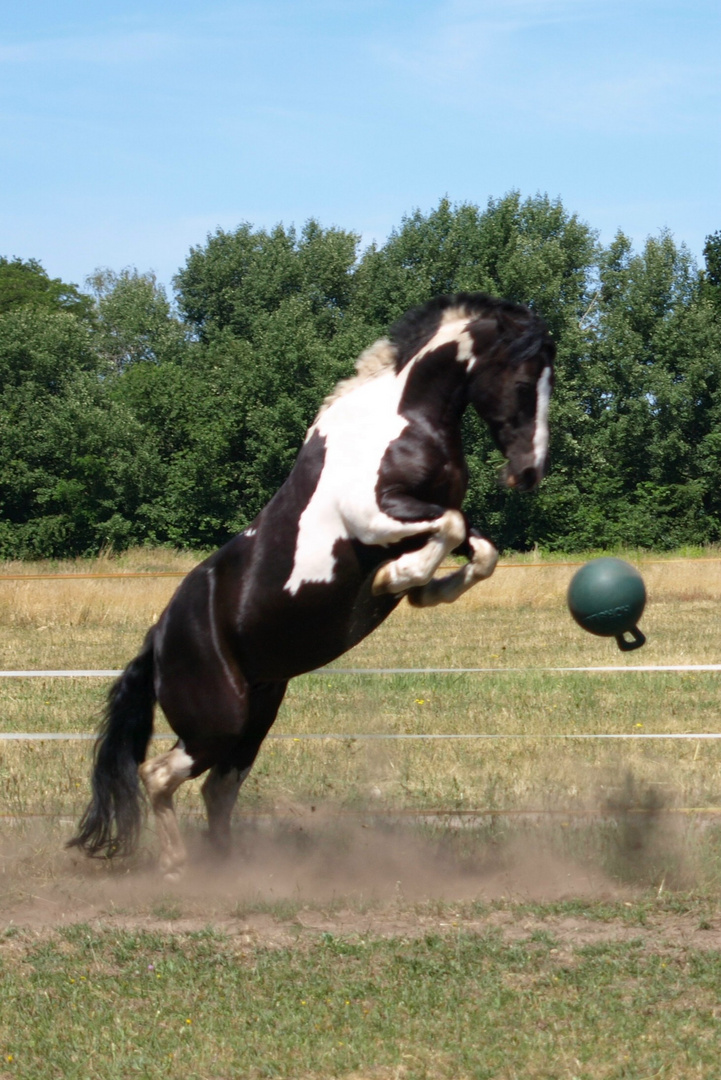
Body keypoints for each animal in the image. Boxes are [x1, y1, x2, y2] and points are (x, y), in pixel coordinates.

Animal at [69, 293, 552, 876]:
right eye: (523, 381)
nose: (529, 472)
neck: (401, 419)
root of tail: (157, 641)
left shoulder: (429, 513)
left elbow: (480, 550)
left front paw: (422, 590)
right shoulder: (376, 517)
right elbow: (453, 529)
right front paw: (395, 580)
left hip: (258, 715)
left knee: (217, 789)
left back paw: (229, 869)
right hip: (219, 721)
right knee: (159, 775)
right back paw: (178, 867)